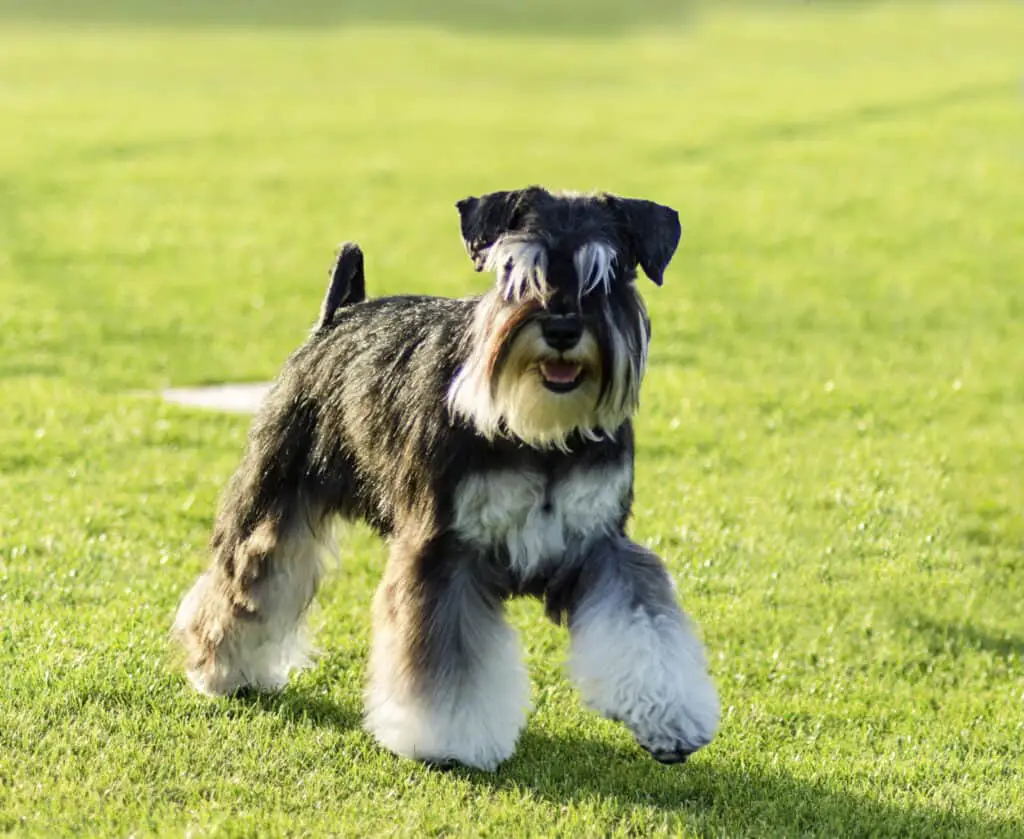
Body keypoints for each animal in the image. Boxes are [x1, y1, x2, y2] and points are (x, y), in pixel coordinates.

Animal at [174, 187, 720, 770]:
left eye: (608, 273)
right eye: (515, 272)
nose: (562, 328)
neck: (540, 431)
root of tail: (338, 316)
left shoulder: (603, 546)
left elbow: (645, 627)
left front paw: (670, 718)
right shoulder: (443, 553)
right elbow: (446, 662)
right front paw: (447, 740)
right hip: (273, 504)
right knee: (244, 584)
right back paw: (221, 669)